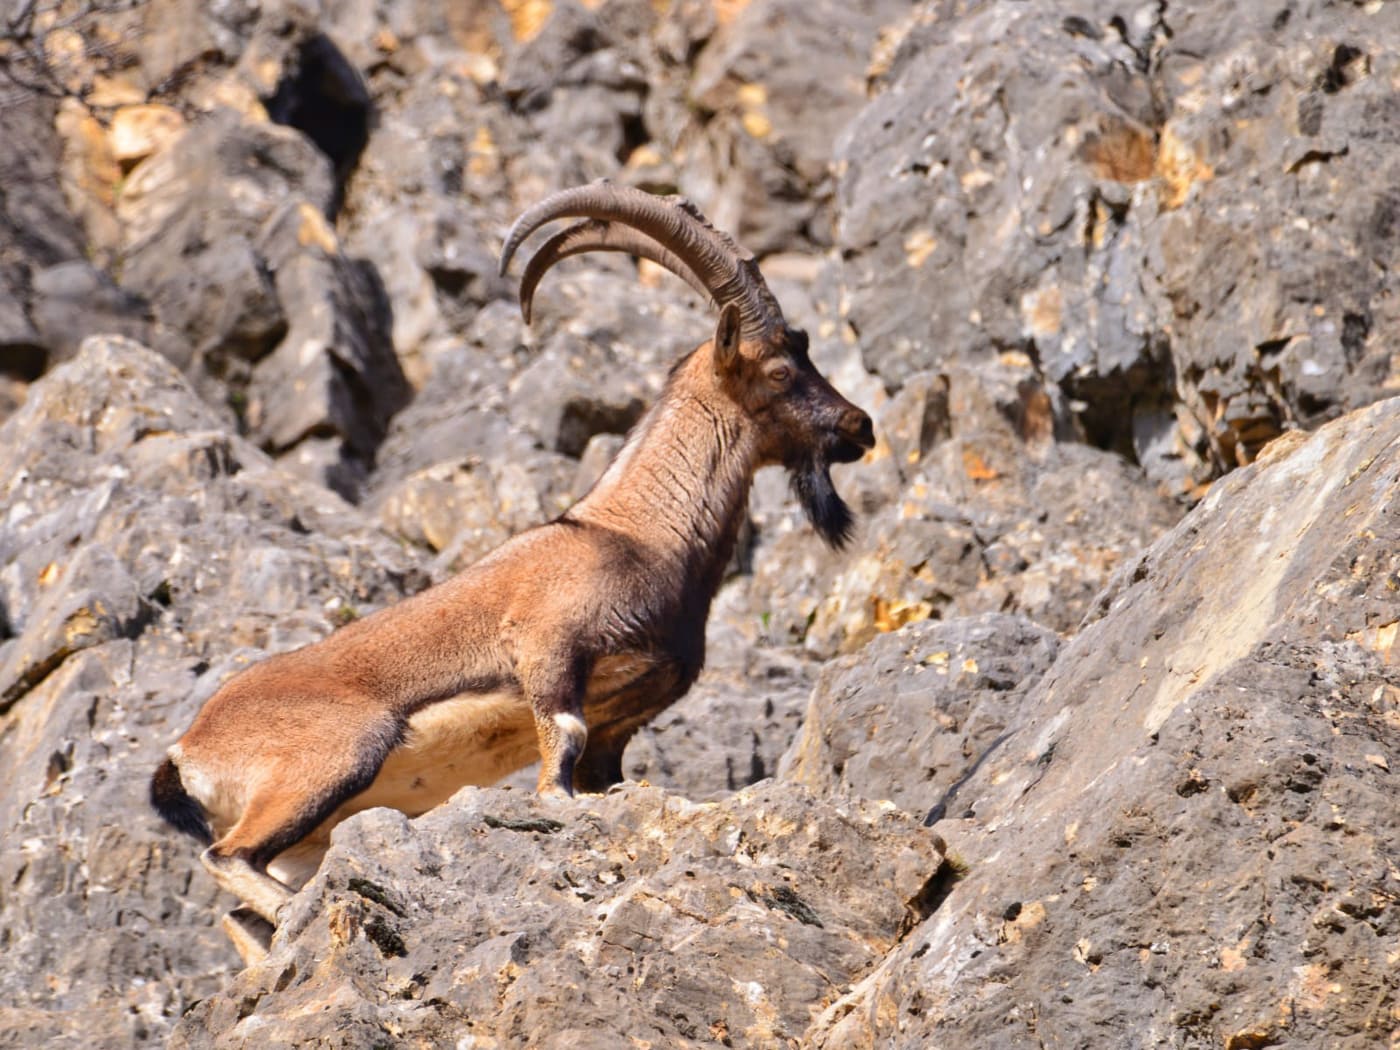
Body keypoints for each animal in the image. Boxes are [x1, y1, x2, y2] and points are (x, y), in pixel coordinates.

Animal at [153, 180, 873, 963]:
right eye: (781, 368)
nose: (860, 426)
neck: (637, 534)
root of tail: (187, 751)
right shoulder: (548, 647)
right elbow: (560, 757)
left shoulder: (623, 722)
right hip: (333, 758)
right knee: (225, 856)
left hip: (307, 833)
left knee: (240, 909)